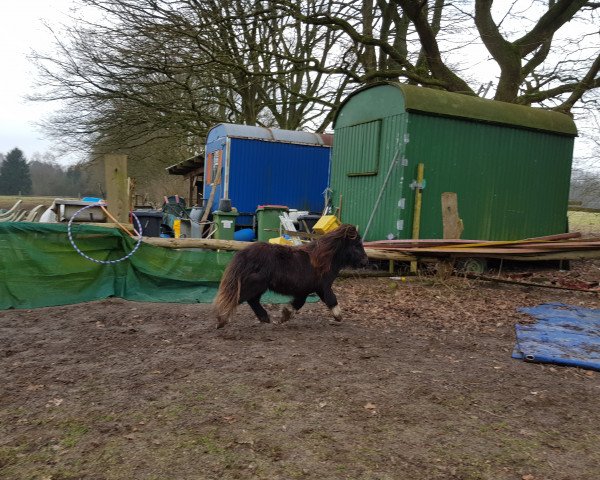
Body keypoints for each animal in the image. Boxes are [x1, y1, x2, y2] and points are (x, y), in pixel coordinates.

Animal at [213, 223, 368, 328]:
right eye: (356, 245)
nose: (366, 261)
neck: (323, 259)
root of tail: (244, 254)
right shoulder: (322, 287)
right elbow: (331, 299)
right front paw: (339, 316)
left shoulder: (308, 290)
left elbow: (299, 303)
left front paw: (284, 315)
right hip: (255, 285)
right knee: (241, 298)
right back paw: (221, 320)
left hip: (257, 286)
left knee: (252, 300)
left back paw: (264, 318)